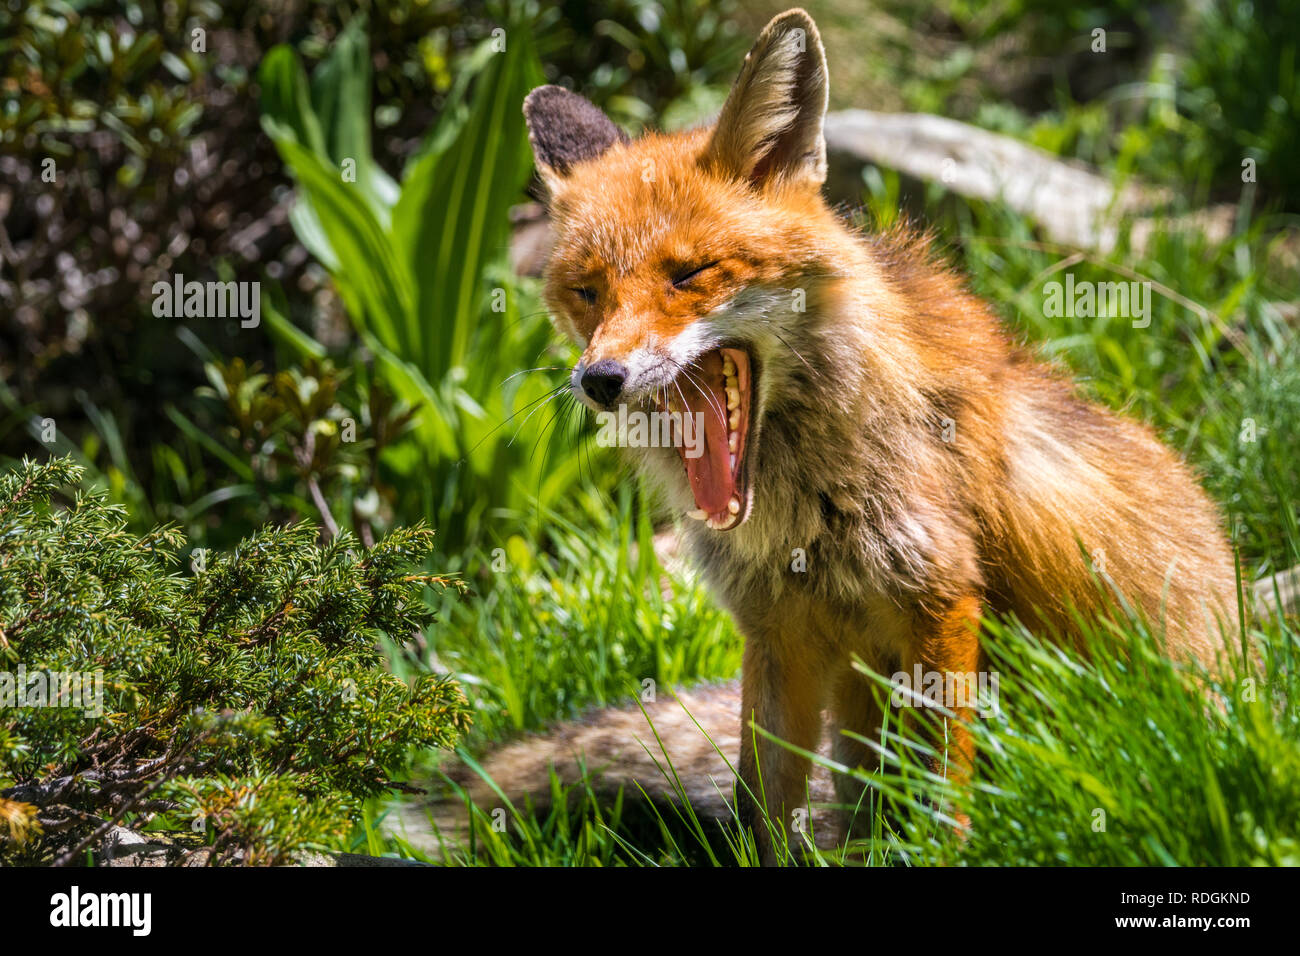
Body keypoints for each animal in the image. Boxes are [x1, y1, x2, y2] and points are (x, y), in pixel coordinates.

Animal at [499, 5, 1237, 858]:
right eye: (586, 292)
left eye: (689, 275)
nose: (599, 380)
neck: (802, 510)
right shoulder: (774, 630)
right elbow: (762, 809)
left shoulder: (941, 601)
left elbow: (945, 799)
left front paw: (950, 854)